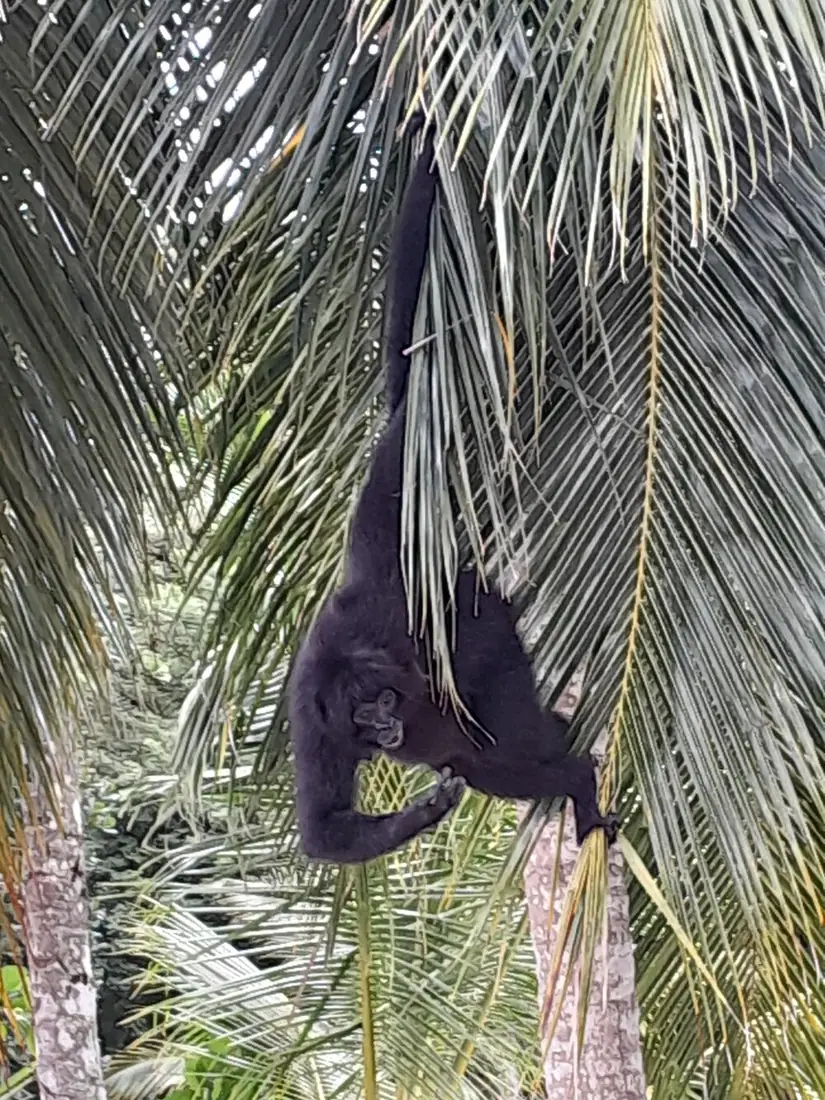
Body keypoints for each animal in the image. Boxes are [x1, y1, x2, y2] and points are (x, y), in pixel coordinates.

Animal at [288, 116, 618, 864]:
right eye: (362, 717)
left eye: (381, 704)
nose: (384, 730)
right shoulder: (314, 718)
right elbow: (325, 827)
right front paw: (425, 811)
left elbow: (416, 406)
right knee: (484, 758)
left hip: (491, 626)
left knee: (505, 736)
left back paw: (575, 775)